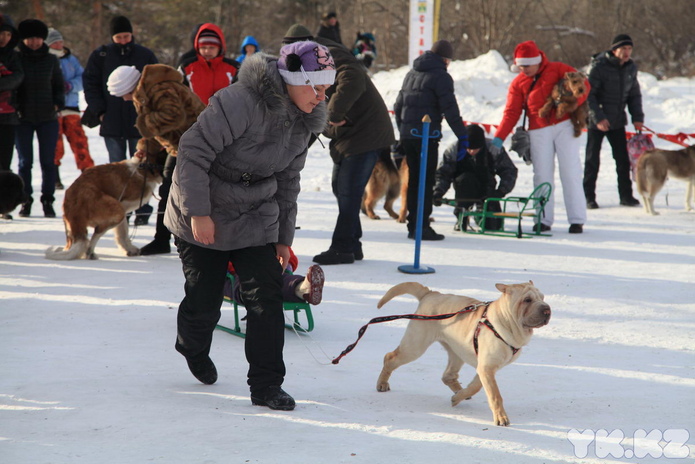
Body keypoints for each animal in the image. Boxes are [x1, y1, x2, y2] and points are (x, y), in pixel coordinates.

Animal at [378, 280, 552, 426]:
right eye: (527, 300)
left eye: (542, 297)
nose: (547, 310)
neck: (507, 322)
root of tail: (431, 293)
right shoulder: (486, 367)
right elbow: (495, 395)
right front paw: (501, 417)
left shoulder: (485, 367)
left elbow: (476, 386)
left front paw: (459, 396)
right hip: (415, 346)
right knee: (389, 357)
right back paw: (382, 383)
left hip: (456, 350)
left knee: (448, 375)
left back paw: (459, 392)